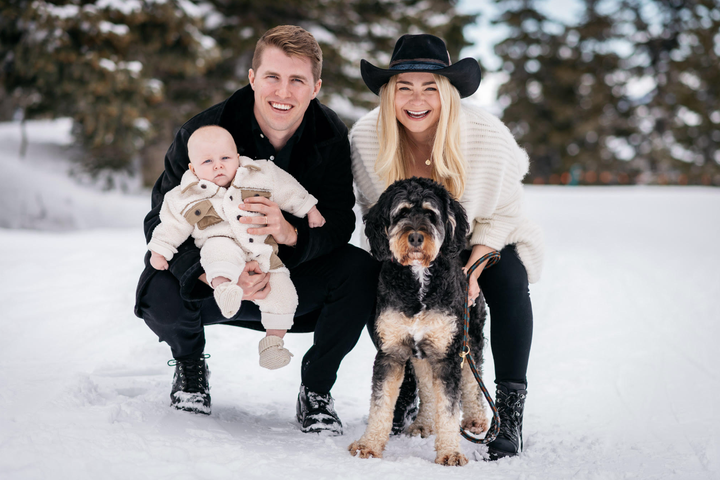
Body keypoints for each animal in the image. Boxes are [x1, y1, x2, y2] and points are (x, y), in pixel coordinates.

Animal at [348, 176, 490, 464]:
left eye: (430, 213)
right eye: (401, 213)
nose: (415, 236)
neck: (419, 281)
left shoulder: (447, 355)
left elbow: (449, 408)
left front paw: (450, 453)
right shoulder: (391, 352)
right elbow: (380, 403)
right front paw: (369, 444)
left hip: (470, 336)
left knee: (473, 377)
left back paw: (476, 418)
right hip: (422, 353)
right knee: (426, 386)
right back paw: (424, 423)